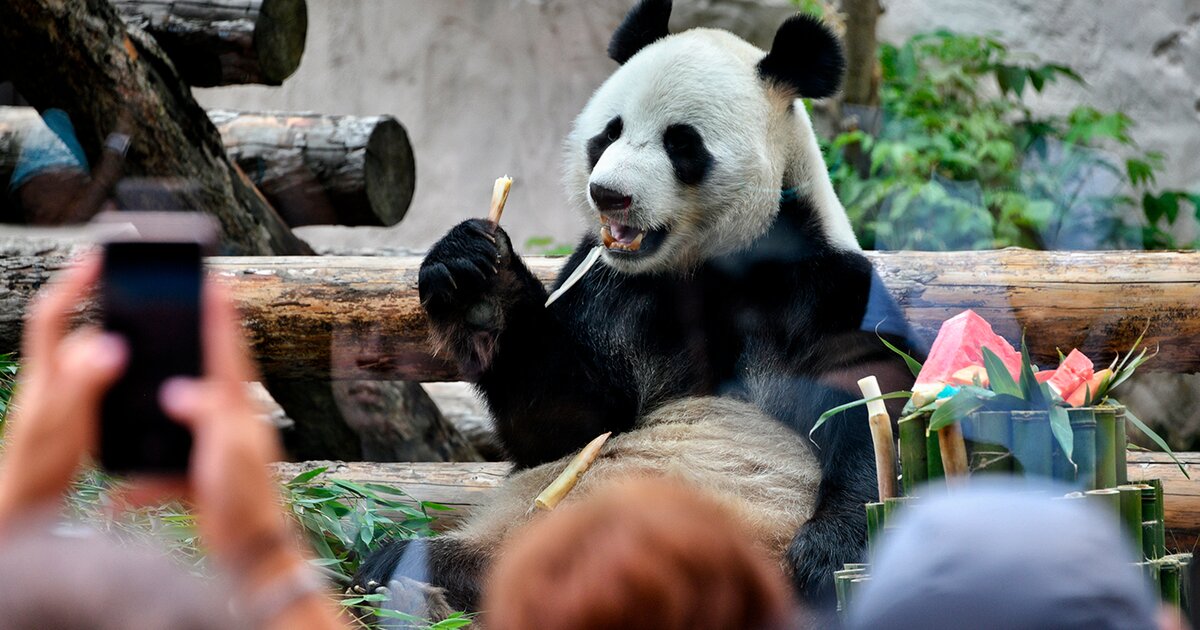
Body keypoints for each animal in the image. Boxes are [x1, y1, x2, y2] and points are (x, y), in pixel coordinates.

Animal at [350, 0, 912, 614]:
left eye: (681, 143)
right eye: (609, 133)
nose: (608, 194)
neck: (698, 265)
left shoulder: (821, 285)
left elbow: (871, 401)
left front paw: (828, 551)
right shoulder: (606, 288)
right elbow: (568, 424)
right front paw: (475, 283)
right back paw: (408, 571)